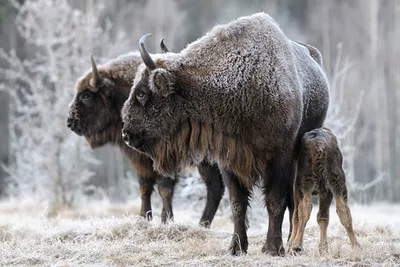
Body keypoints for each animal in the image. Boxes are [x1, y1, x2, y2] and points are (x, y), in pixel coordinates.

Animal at [67, 42, 227, 228]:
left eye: (86, 95)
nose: (70, 122)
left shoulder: (162, 158)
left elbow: (164, 188)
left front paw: (166, 220)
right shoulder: (140, 161)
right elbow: (145, 187)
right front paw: (144, 217)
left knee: (215, 186)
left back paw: (202, 224)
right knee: (215, 186)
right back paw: (203, 224)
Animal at [121, 13, 328, 258]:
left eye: (142, 93)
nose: (126, 133)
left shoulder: (280, 158)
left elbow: (276, 201)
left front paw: (272, 248)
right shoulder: (229, 160)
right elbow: (237, 204)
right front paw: (236, 247)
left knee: (294, 199)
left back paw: (290, 243)